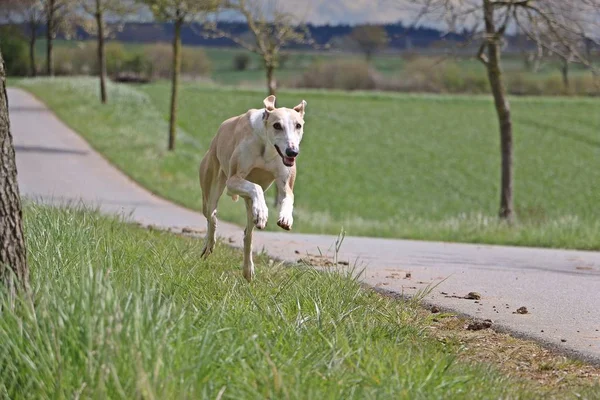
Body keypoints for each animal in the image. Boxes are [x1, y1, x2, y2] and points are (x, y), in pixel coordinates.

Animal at [199, 95, 308, 282]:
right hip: (212, 183)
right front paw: (263, 212)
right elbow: (255, 187)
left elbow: (288, 197)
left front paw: (286, 218)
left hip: (247, 203)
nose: (292, 152)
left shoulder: (285, 182)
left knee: (248, 233)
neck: (268, 147)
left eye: (298, 125)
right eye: (277, 125)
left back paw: (248, 269)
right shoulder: (233, 181)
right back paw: (209, 244)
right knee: (211, 215)